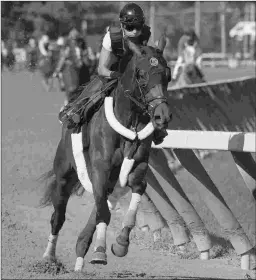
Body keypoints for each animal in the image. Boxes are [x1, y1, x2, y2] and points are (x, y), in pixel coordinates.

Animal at [40, 36, 172, 270]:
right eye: (141, 74)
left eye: (168, 74)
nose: (161, 116)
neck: (128, 121)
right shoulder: (100, 169)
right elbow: (103, 212)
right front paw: (100, 252)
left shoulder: (138, 166)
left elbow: (135, 192)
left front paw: (120, 243)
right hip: (64, 173)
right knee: (58, 216)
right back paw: (49, 257)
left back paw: (80, 254)